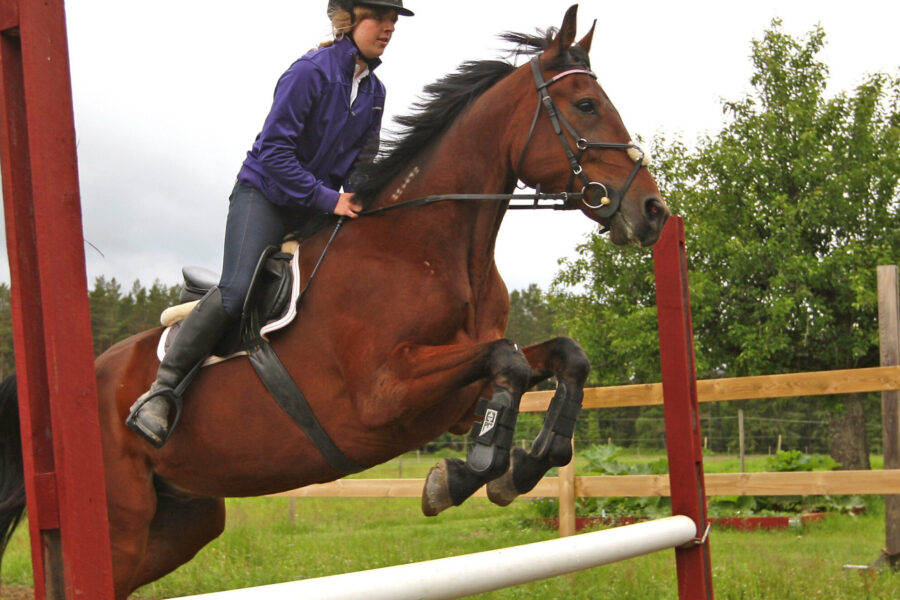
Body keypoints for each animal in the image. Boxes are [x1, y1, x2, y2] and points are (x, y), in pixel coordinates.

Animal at [1, 5, 668, 600]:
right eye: (585, 105)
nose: (653, 212)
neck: (429, 247)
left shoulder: (452, 400)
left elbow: (561, 356)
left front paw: (518, 469)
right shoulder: (383, 395)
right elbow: (506, 358)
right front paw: (456, 477)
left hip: (181, 521)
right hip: (120, 524)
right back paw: (155, 408)